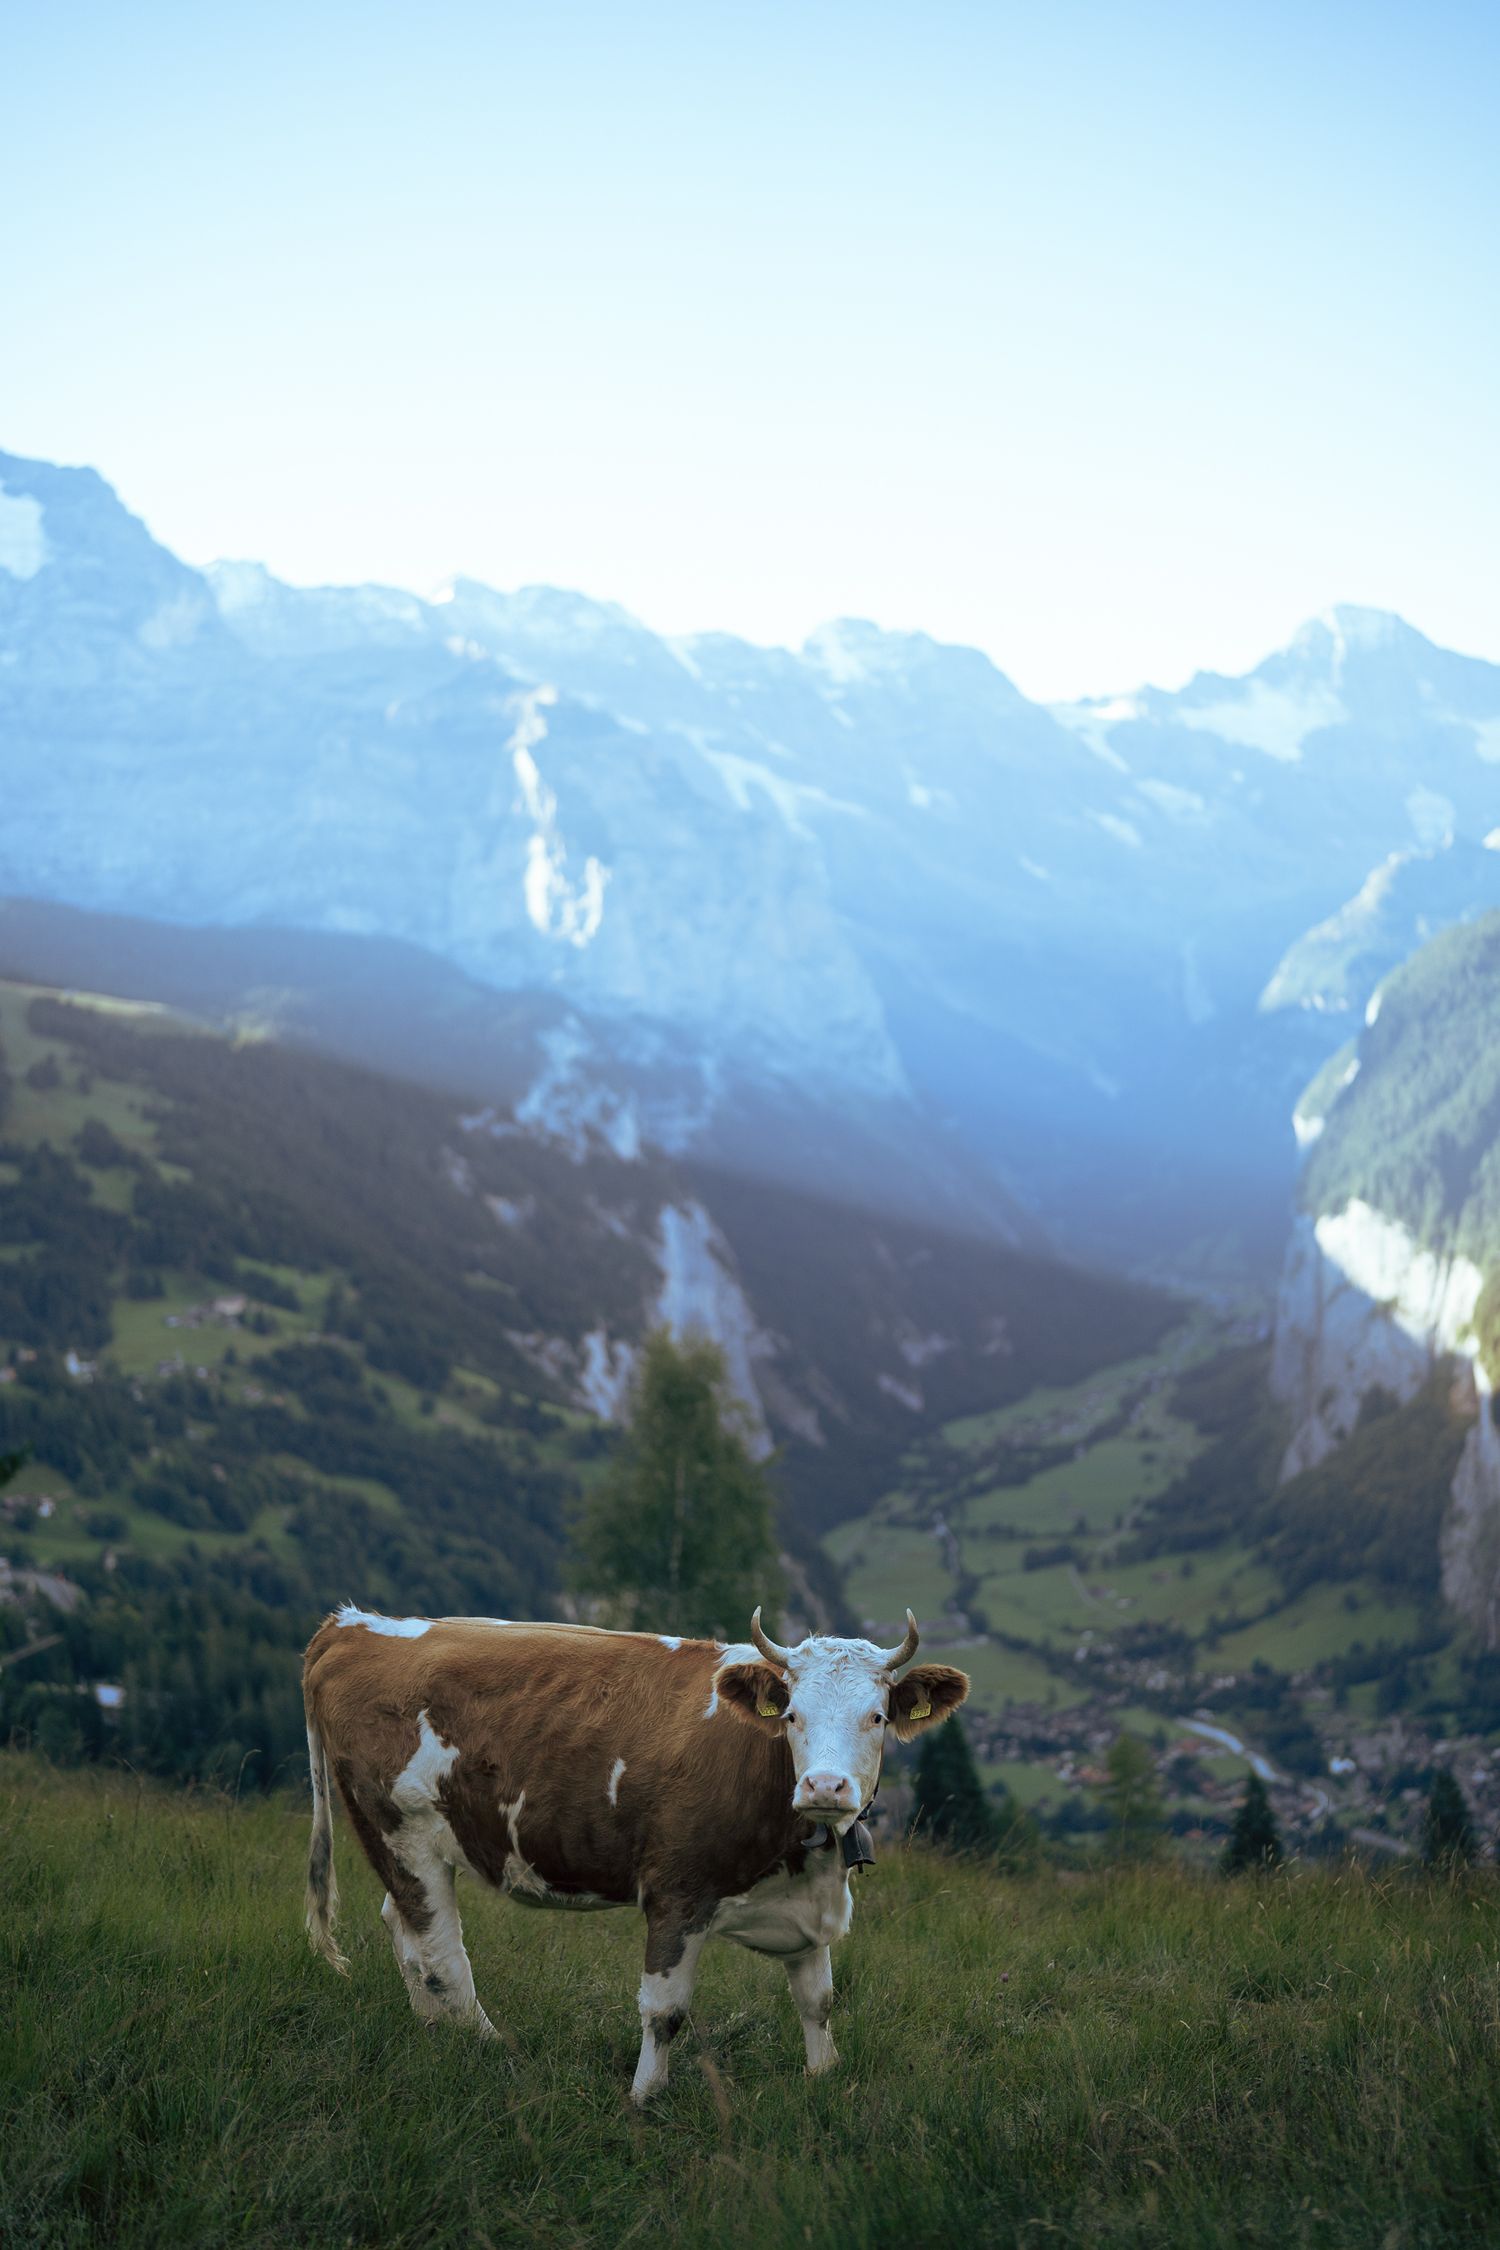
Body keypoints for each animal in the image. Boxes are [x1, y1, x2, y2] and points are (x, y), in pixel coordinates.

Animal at [302, 1602, 968, 2100]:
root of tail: (350, 1625)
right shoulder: (678, 1891)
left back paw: (433, 2032)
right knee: (440, 1955)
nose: (825, 1786)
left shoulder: (807, 1900)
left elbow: (818, 2001)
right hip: (403, 1830)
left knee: (404, 1930)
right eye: (793, 1716)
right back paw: (491, 2050)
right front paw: (645, 2099)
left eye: (877, 1716)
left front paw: (823, 2079)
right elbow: (664, 2010)